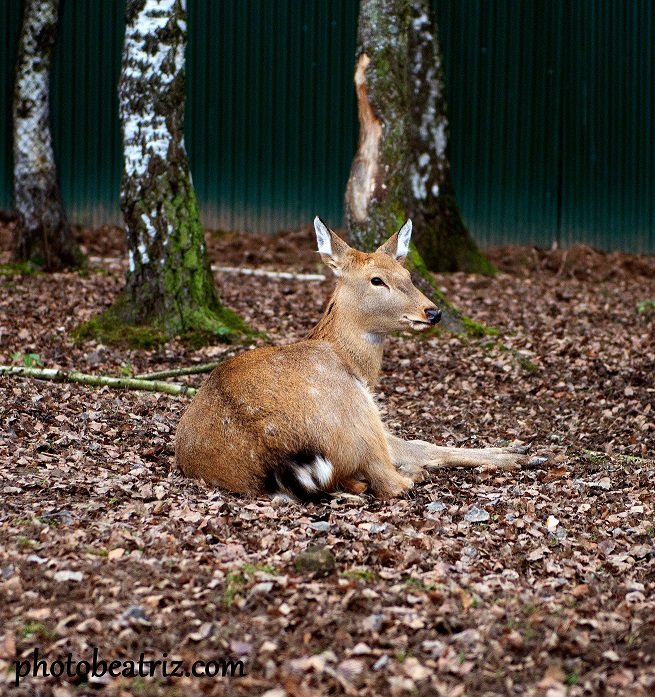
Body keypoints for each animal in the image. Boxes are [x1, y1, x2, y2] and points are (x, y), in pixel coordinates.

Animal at [176, 215, 540, 498]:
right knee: (391, 482)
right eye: (376, 280)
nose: (433, 312)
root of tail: (273, 455)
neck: (357, 365)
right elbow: (423, 444)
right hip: (357, 415)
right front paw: (519, 454)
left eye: (408, 276)